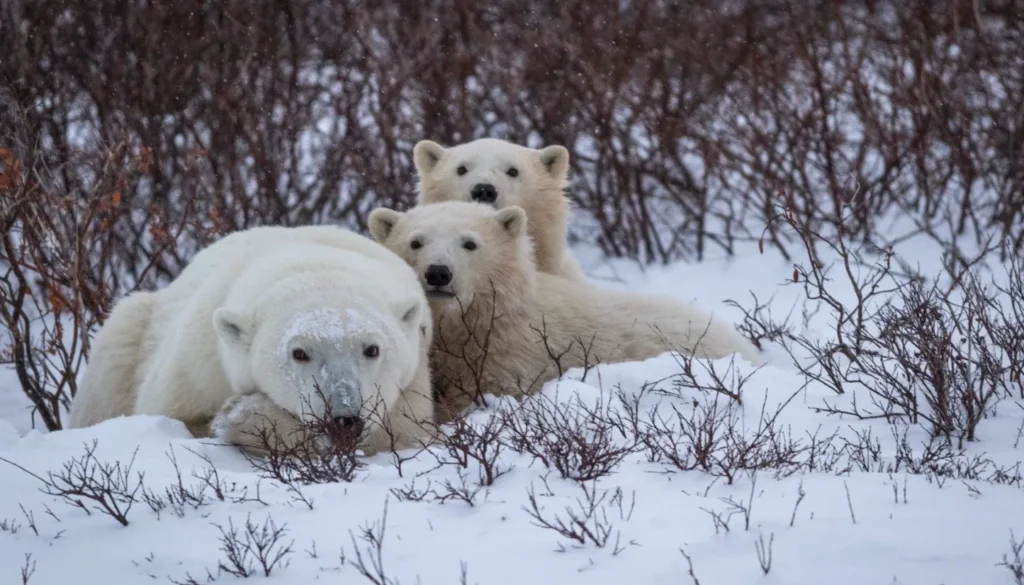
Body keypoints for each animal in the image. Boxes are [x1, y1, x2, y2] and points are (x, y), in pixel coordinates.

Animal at [67, 225, 435, 456]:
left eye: (372, 349)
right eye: (299, 353)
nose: (344, 420)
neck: (308, 258)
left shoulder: (413, 378)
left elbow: (401, 434)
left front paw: (238, 415)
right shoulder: (197, 368)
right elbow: (179, 418)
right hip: (132, 332)